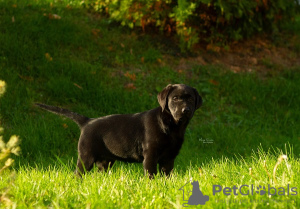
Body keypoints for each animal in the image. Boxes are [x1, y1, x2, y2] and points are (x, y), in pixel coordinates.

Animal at [36, 84, 203, 179]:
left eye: (190, 99)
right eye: (175, 98)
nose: (185, 110)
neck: (174, 126)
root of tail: (87, 122)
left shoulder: (169, 158)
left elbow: (167, 175)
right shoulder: (150, 155)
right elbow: (150, 174)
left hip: (105, 161)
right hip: (86, 157)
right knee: (78, 174)